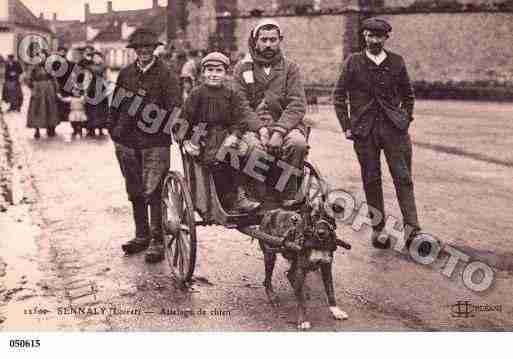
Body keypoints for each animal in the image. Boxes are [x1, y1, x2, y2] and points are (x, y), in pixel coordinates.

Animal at [258, 201, 350, 330]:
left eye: (329, 217)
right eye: (314, 217)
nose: (321, 233)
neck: (318, 243)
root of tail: (270, 211)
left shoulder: (326, 266)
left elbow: (330, 290)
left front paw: (336, 310)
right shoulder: (301, 269)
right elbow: (301, 301)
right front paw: (303, 320)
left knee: (289, 274)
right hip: (270, 255)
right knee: (268, 279)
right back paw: (273, 297)